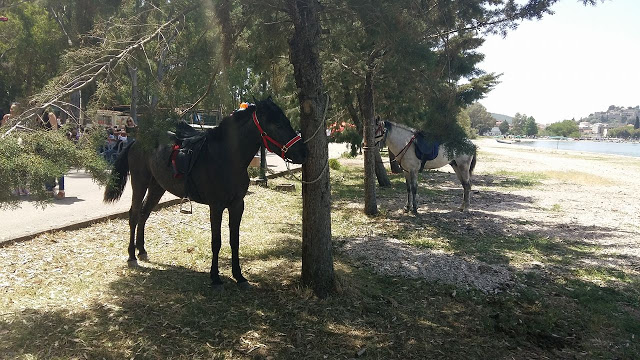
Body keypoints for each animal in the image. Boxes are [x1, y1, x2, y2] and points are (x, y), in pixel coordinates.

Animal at [104, 98, 308, 290]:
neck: (226, 157)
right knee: (134, 215)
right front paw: (215, 278)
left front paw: (239, 276)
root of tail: (137, 140)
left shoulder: (237, 205)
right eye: (277, 124)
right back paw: (132, 255)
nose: (302, 152)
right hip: (140, 182)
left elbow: (234, 240)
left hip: (157, 187)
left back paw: (142, 250)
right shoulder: (216, 207)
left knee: (144, 214)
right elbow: (216, 241)